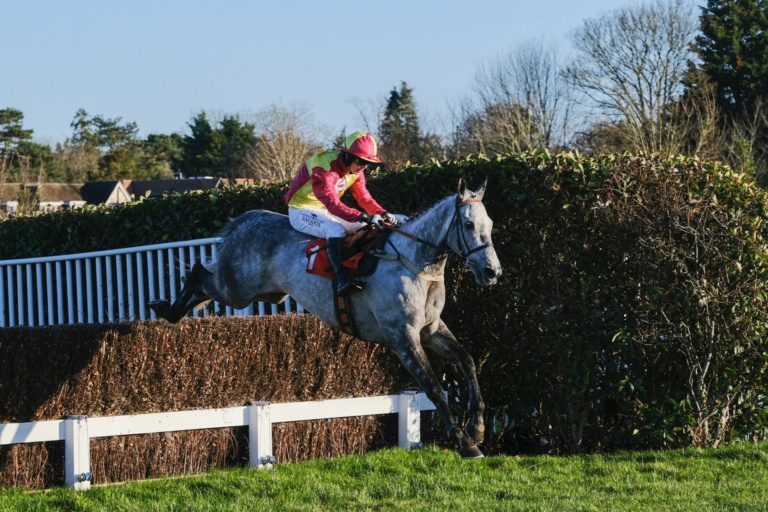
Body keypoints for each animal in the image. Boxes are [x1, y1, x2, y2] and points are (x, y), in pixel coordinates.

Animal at [150, 178, 504, 458]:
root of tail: (247, 220)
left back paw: (173, 309)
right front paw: (464, 442)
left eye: (490, 224)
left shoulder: (430, 329)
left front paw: (478, 427)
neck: (413, 261)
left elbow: (467, 360)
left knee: (205, 284)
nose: (492, 271)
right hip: (237, 288)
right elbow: (434, 387)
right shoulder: (401, 335)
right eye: (468, 225)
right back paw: (167, 310)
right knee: (200, 273)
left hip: (265, 293)